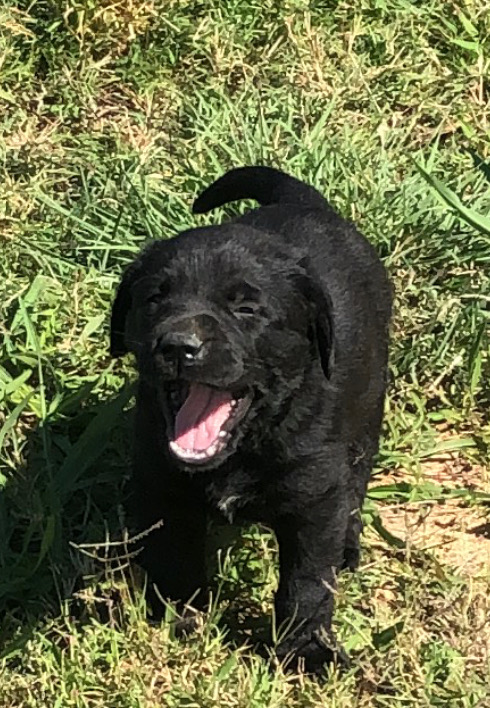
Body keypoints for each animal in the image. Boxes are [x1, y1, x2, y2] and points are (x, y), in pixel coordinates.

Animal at [110, 166, 390, 676]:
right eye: (155, 298)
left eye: (245, 308)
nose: (178, 345)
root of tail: (303, 202)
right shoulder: (162, 484)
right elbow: (176, 559)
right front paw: (182, 622)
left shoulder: (316, 499)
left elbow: (307, 580)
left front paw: (305, 649)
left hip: (369, 403)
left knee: (358, 478)